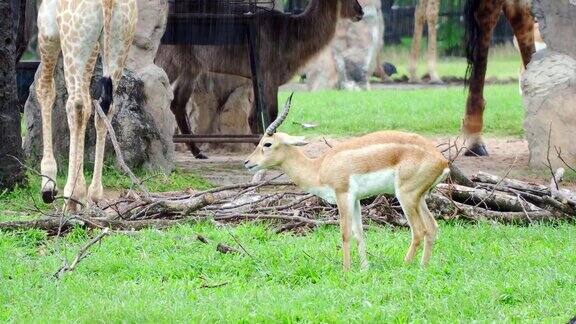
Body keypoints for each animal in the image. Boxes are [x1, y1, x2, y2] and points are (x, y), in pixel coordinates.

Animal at [155, 0, 362, 158]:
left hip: (191, 67)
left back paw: (198, 152)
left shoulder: (259, 78)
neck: (292, 33)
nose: (360, 12)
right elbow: (270, 114)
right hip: (168, 60)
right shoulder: (269, 77)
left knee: (178, 103)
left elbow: (254, 116)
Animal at [243, 94, 450, 270]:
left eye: (267, 144)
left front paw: (346, 270)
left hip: (406, 197)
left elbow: (345, 233)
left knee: (418, 231)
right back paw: (423, 267)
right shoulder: (356, 199)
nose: (247, 162)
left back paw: (405, 266)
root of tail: (442, 160)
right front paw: (364, 269)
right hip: (419, 198)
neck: (318, 167)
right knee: (432, 228)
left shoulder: (343, 195)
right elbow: (359, 233)